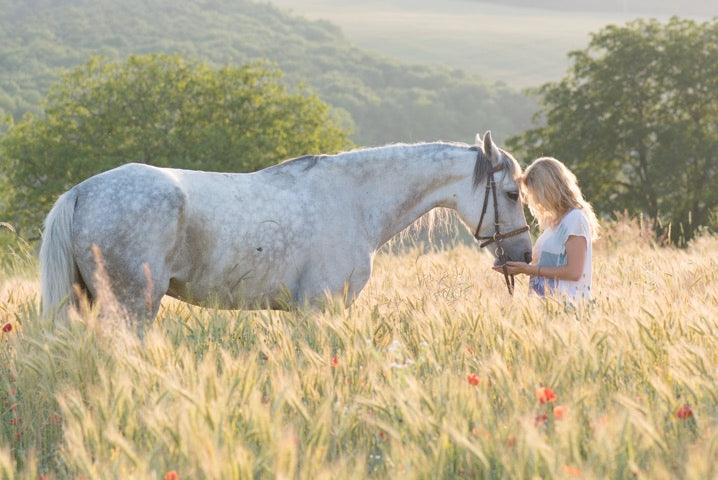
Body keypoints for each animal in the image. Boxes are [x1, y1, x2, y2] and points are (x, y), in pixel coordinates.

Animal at [39, 131, 532, 331]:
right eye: (511, 193)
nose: (524, 256)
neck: (354, 199)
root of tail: (81, 191)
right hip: (132, 306)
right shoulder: (322, 308)